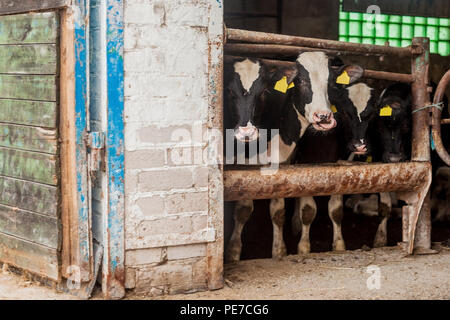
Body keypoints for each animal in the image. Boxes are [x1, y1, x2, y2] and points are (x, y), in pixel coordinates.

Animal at [223, 52, 364, 262]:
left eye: (331, 83)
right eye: (301, 81)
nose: (324, 117)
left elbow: (280, 210)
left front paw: (279, 250)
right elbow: (243, 209)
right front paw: (233, 251)